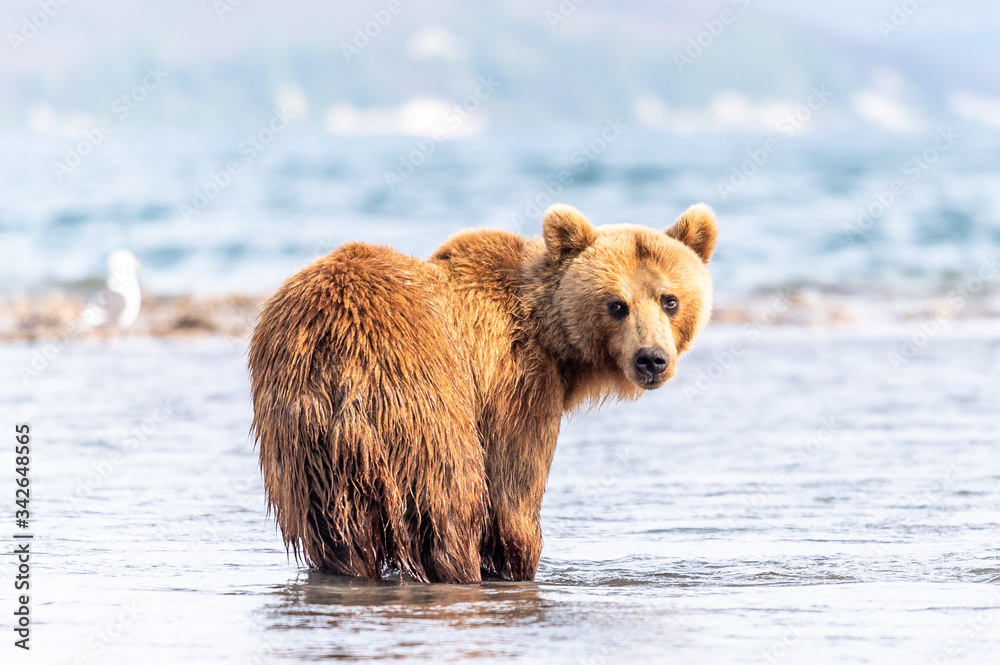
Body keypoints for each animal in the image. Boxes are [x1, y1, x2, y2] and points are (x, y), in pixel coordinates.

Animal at [248, 202, 717, 583]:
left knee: (333, 531)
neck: (553, 339)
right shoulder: (515, 384)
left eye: (669, 300)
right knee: (449, 504)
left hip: (300, 438)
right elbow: (512, 496)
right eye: (616, 304)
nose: (651, 359)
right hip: (423, 399)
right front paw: (517, 561)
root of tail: (336, 350)